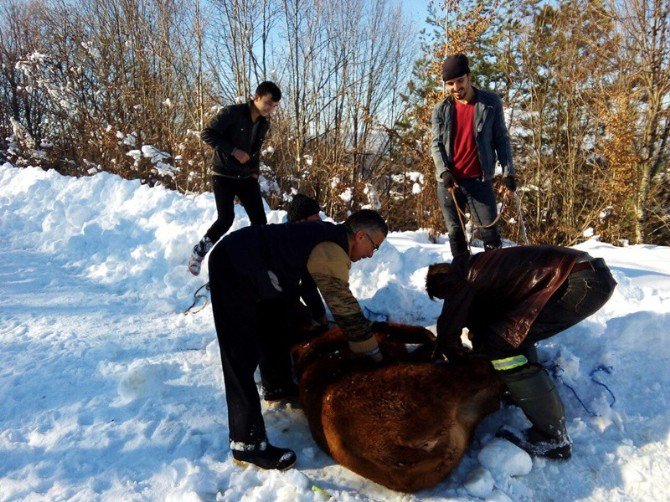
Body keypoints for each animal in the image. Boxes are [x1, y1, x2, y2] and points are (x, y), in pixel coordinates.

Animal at [292, 324, 504, 492]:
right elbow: (407, 329)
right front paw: (431, 339)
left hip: (462, 422)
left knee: (491, 396)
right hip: (426, 381)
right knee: (479, 373)